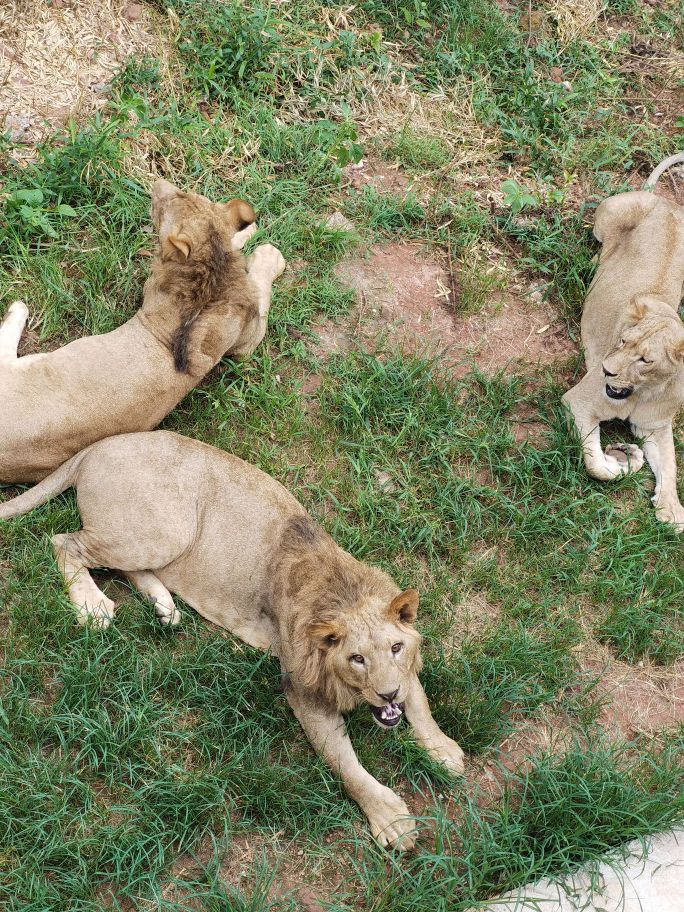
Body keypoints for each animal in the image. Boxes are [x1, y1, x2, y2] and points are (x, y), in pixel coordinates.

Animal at [0, 182, 286, 488]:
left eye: (170, 201)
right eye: (182, 194)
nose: (158, 184)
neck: (210, 269)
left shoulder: (246, 342)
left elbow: (261, 290)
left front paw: (265, 251)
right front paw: (251, 231)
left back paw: (18, 307)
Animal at [0, 432, 464, 852]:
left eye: (395, 649)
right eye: (356, 659)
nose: (387, 694)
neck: (343, 594)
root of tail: (97, 446)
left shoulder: (404, 670)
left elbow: (420, 705)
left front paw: (443, 750)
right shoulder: (302, 692)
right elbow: (347, 766)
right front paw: (391, 819)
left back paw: (163, 606)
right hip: (162, 528)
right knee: (63, 542)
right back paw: (93, 605)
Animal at [560, 155, 684, 528]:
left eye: (645, 360)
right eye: (621, 342)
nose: (605, 370)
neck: (645, 391)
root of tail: (667, 202)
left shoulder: (655, 426)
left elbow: (670, 463)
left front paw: (672, 509)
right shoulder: (578, 403)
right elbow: (595, 464)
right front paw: (623, 458)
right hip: (609, 215)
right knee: (599, 242)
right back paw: (593, 263)